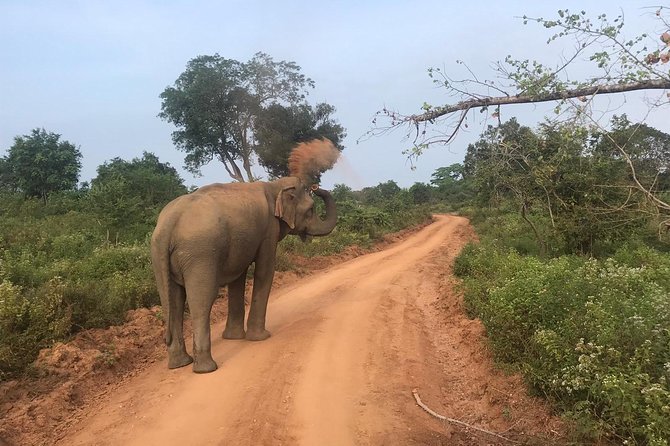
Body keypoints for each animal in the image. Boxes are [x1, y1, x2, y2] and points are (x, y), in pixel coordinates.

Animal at [150, 176, 337, 373]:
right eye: (311, 209)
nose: (316, 186)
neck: (275, 186)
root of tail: (169, 224)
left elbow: (238, 277)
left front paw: (233, 337)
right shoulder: (269, 229)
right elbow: (265, 270)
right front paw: (260, 337)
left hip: (159, 255)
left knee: (172, 301)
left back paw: (180, 364)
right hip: (200, 253)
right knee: (201, 301)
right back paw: (206, 368)